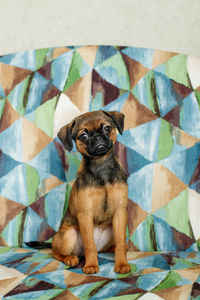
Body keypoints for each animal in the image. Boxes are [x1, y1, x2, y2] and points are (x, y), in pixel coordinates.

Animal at [28, 110, 130, 274]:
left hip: (111, 231)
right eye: (83, 136)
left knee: (109, 247)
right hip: (68, 236)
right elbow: (90, 245)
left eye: (107, 128)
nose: (97, 137)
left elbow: (121, 242)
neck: (101, 166)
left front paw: (121, 263)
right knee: (55, 252)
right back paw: (70, 258)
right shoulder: (85, 214)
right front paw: (91, 265)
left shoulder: (120, 212)